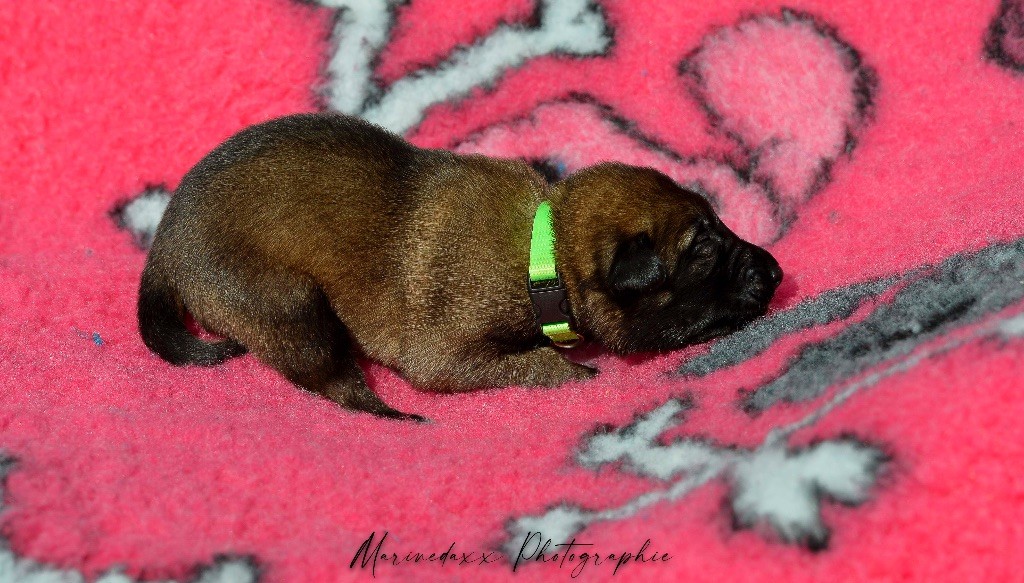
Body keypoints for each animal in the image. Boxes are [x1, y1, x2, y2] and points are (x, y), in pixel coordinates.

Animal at [138, 112, 782, 421]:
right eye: (702, 250)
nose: (776, 272)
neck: (544, 247)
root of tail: (163, 249)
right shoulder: (442, 353)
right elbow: (523, 362)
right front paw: (568, 370)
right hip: (286, 305)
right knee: (333, 382)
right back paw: (394, 414)